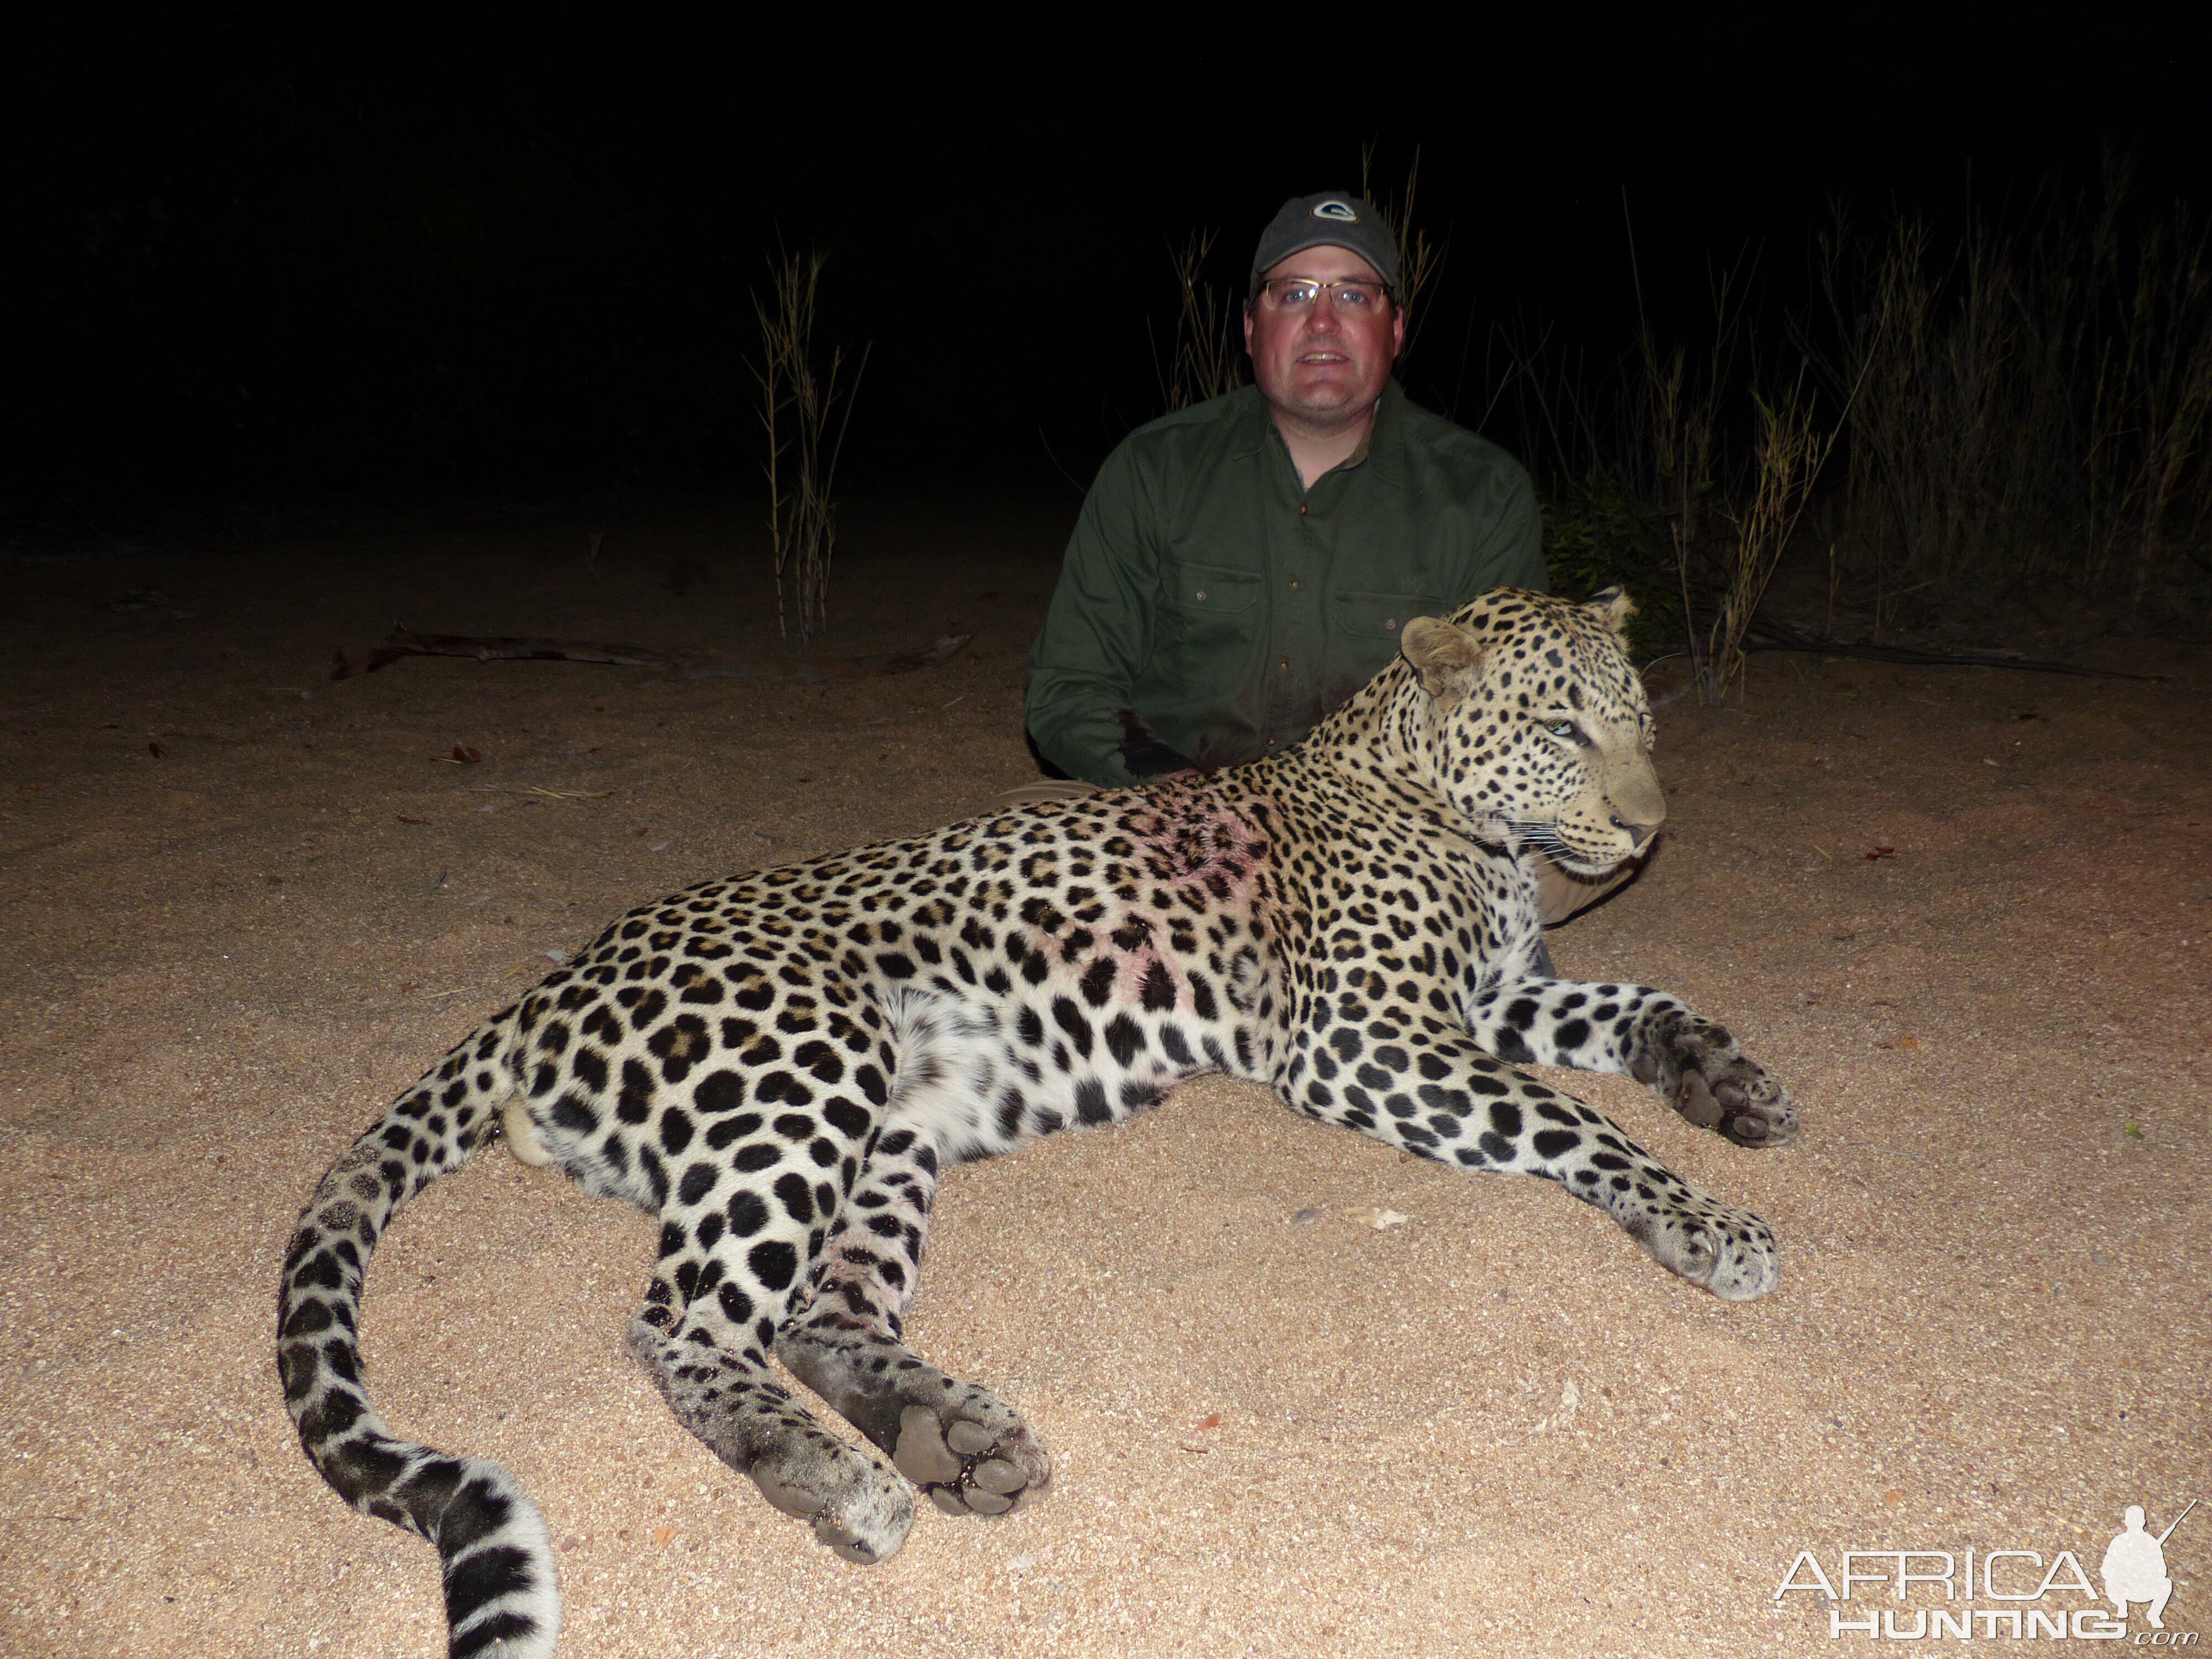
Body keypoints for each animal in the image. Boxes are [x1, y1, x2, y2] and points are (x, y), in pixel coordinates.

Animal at [276, 593, 1796, 1655]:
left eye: (1642, 721)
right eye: (1561, 730)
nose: (1648, 827)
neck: (1459, 826)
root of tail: (549, 982)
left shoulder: (1491, 1000)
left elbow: (1640, 1003)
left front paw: (1732, 1085)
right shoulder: (1363, 1039)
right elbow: (1570, 1122)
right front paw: (1708, 1224)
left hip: (893, 1127)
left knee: (819, 1314)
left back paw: (952, 1437)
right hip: (803, 1067)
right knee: (682, 1320)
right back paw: (835, 1479)